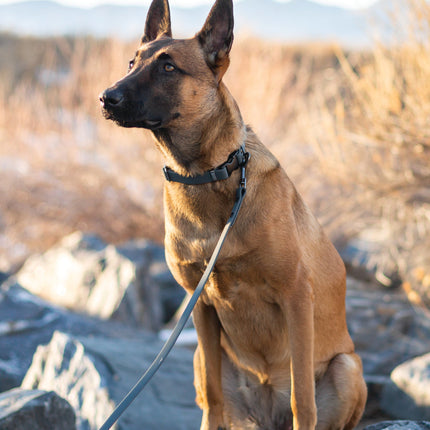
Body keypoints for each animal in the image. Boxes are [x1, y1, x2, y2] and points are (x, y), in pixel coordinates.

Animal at [100, 1, 366, 428]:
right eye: (131, 62)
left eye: (168, 67)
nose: (106, 97)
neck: (207, 174)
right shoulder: (200, 306)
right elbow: (213, 395)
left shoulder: (296, 296)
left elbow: (302, 398)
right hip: (199, 353)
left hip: (347, 366)